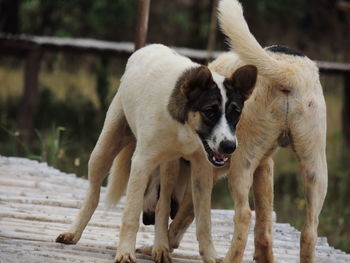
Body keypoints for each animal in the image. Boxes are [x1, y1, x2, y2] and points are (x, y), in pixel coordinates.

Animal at [55, 43, 258, 263]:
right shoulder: (141, 163)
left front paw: (210, 255)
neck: (185, 128)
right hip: (103, 151)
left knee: (163, 205)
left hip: (169, 167)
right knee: (93, 195)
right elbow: (131, 214)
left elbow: (204, 220)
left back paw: (160, 247)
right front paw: (125, 252)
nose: (230, 147)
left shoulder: (202, 170)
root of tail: (149, 46)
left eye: (235, 113)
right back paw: (73, 233)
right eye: (210, 111)